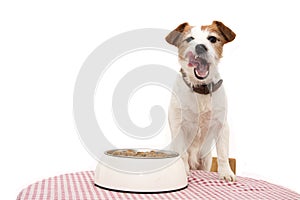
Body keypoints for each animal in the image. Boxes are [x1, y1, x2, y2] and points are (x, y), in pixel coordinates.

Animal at [165, 20, 236, 181]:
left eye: (212, 39)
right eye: (190, 39)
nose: (200, 47)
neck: (200, 89)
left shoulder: (222, 125)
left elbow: (223, 153)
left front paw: (226, 172)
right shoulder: (178, 125)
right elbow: (183, 153)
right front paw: (183, 170)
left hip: (205, 160)